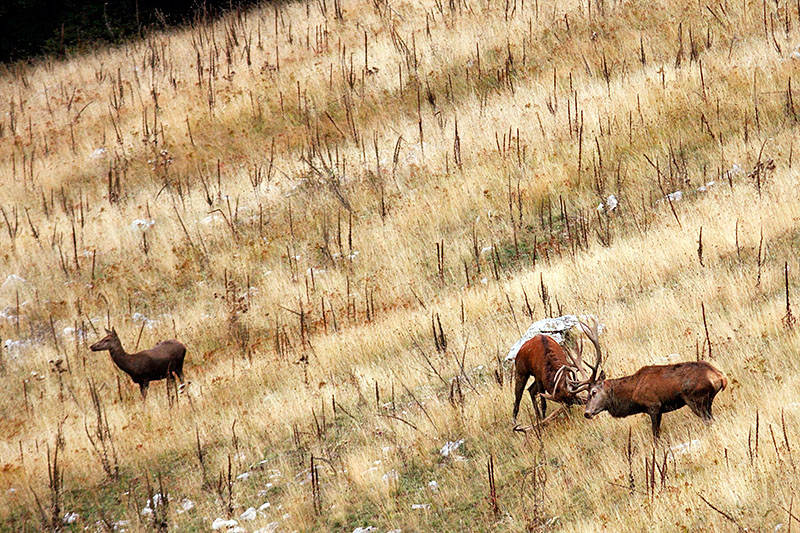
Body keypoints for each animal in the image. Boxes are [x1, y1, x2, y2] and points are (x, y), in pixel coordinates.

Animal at [576, 330, 732, 438]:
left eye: (593, 392)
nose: (587, 413)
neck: (632, 395)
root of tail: (720, 377)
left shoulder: (654, 405)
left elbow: (655, 435)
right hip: (707, 401)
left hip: (695, 398)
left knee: (708, 420)